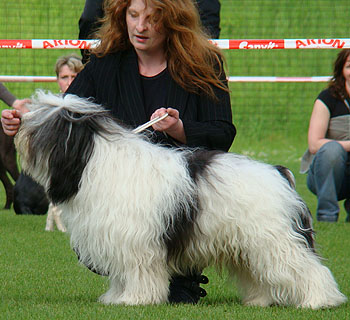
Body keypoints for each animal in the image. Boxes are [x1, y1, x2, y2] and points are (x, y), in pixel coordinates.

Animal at [14, 90, 348, 308]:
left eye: (43, 124)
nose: (18, 122)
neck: (93, 161)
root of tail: (279, 172)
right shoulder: (119, 239)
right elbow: (122, 275)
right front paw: (116, 297)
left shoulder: (136, 242)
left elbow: (138, 273)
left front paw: (135, 300)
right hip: (249, 244)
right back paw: (258, 301)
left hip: (275, 240)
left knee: (309, 269)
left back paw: (319, 301)